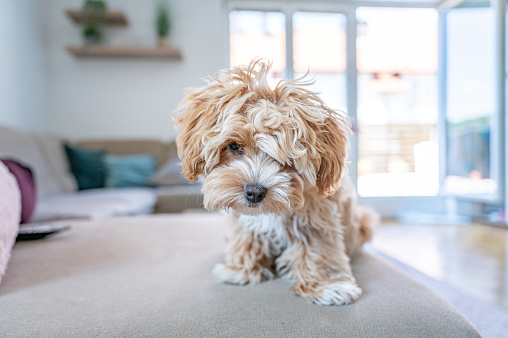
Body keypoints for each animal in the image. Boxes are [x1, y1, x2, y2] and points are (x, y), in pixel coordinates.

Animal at [175, 59, 378, 304]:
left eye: (287, 158)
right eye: (234, 146)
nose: (254, 192)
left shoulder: (316, 216)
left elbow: (319, 246)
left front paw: (329, 286)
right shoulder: (244, 221)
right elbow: (246, 237)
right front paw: (240, 269)